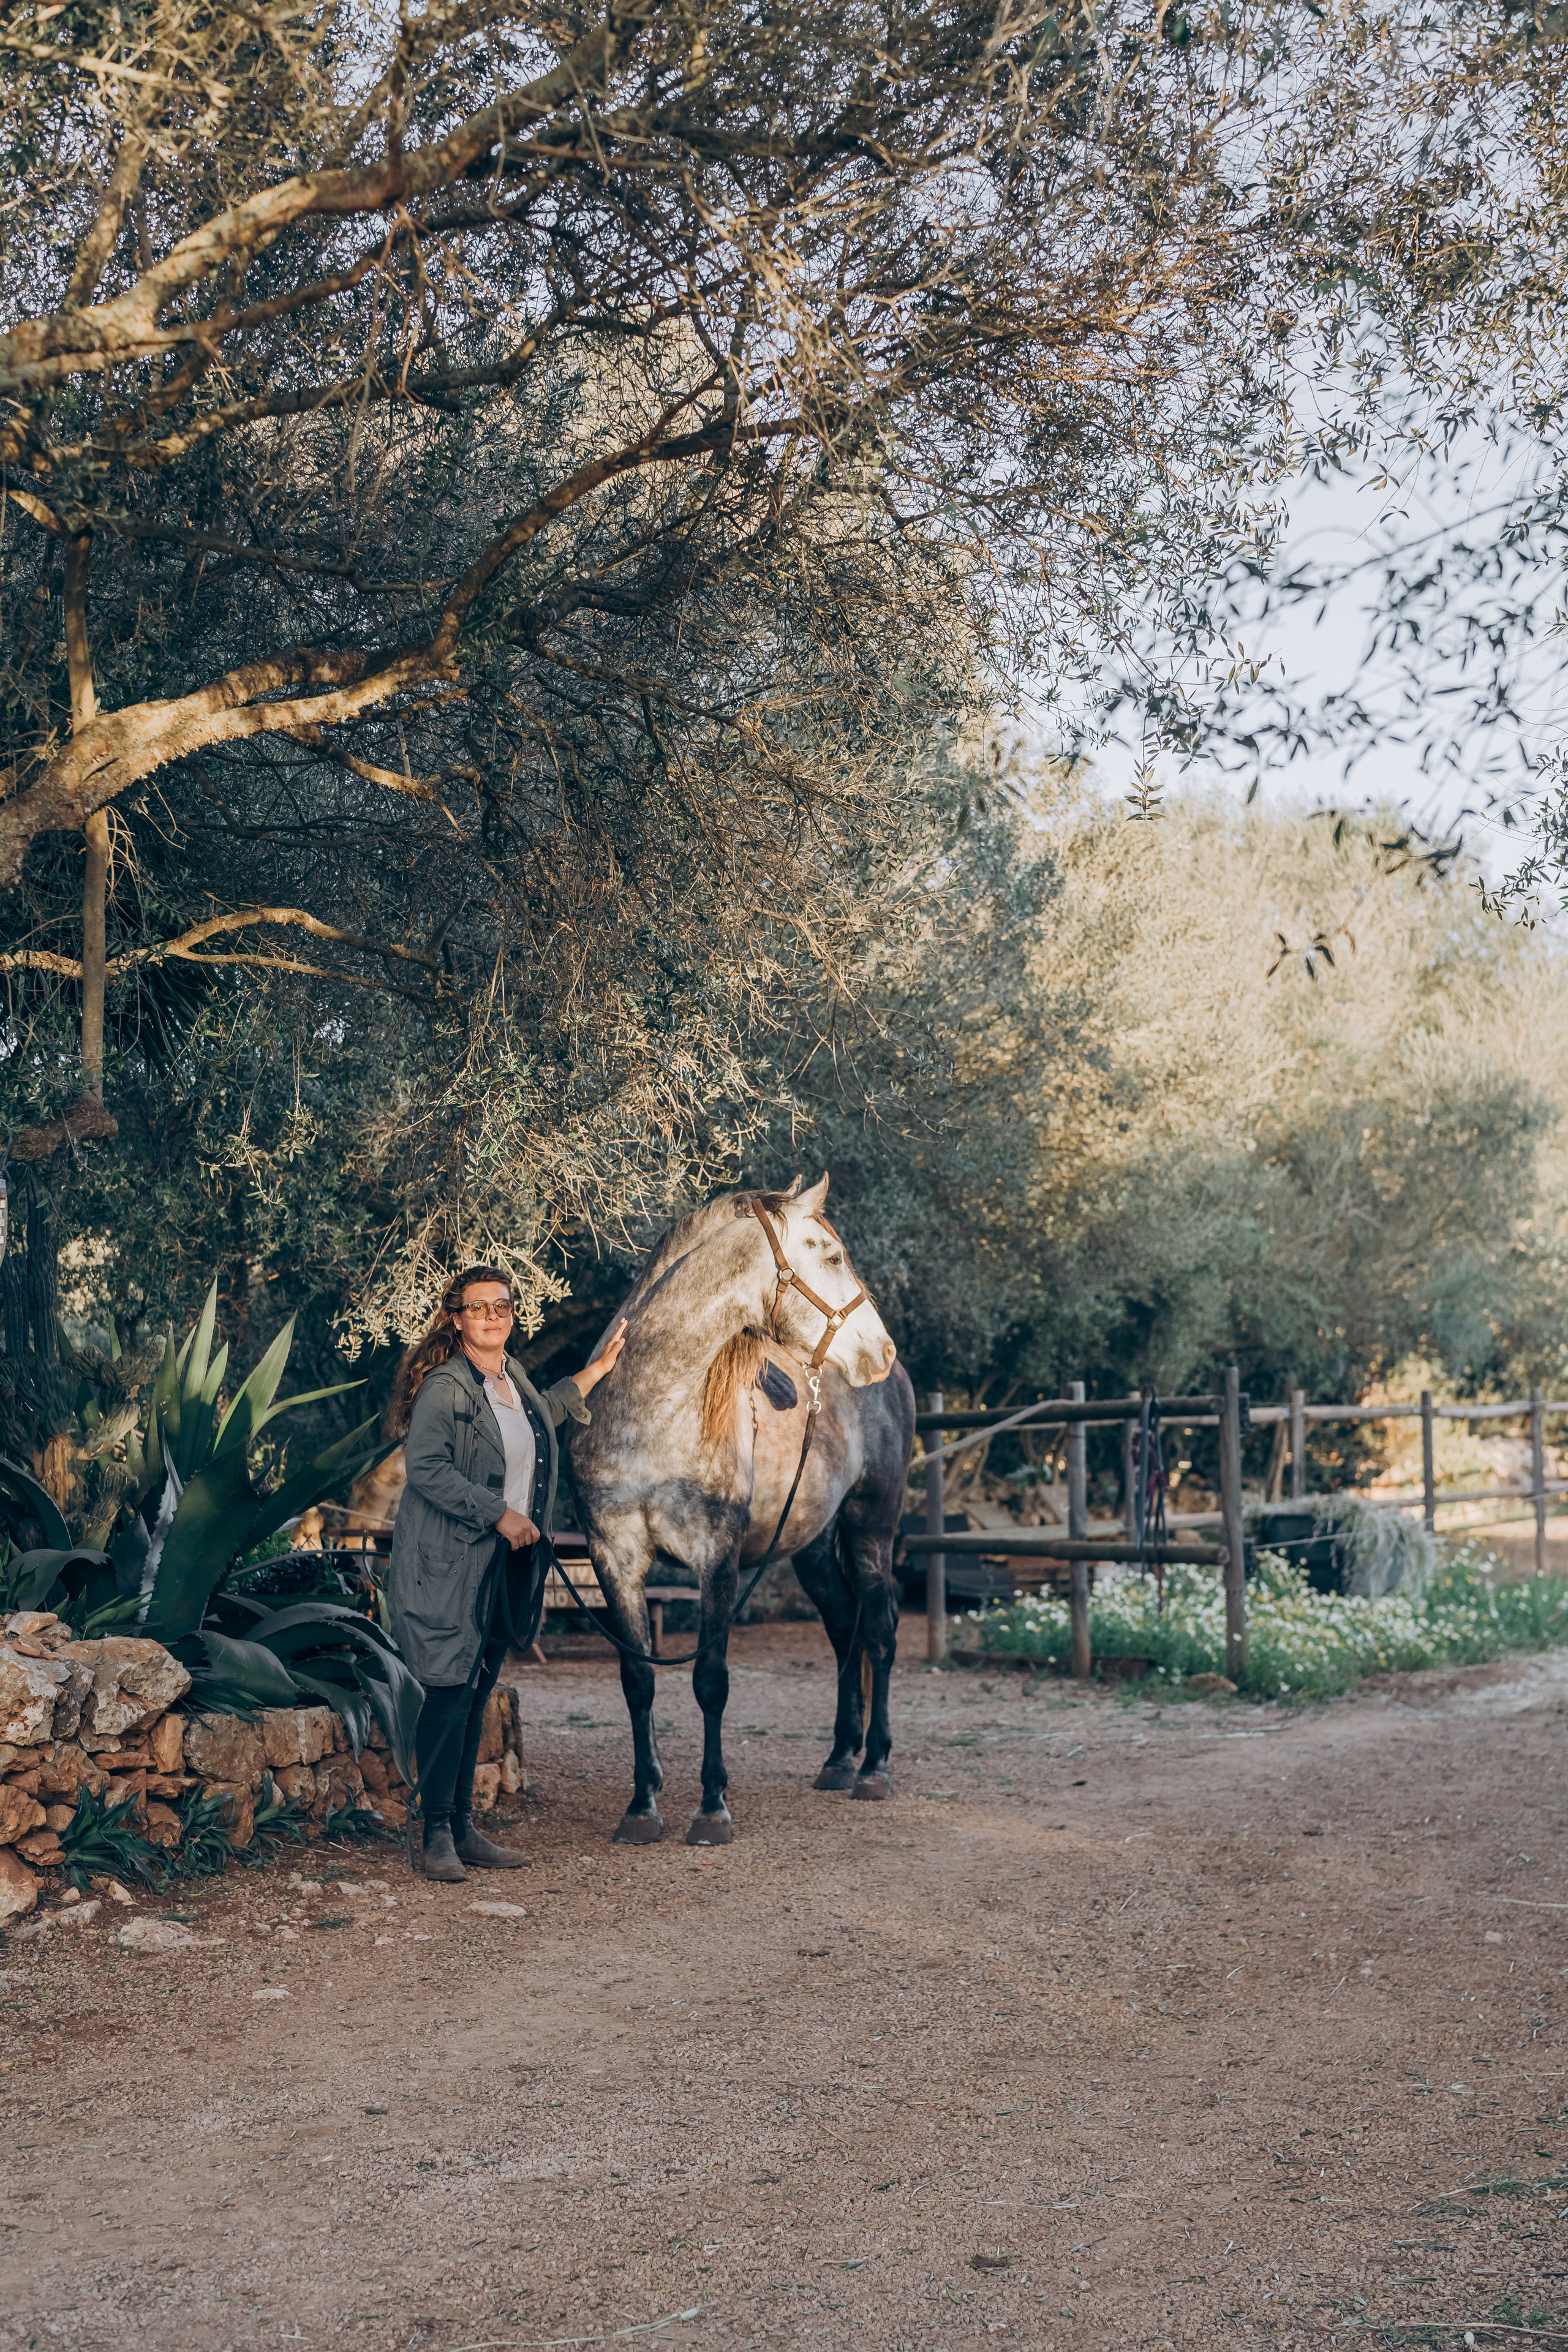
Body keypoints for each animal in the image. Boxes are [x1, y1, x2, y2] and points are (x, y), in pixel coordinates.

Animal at [564, 1174, 914, 1846]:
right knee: (844, 1629)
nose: (881, 1349)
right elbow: (637, 1680)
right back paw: (839, 1760)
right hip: (811, 1547)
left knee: (881, 1633)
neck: (654, 1413)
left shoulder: (716, 1560)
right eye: (833, 1257)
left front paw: (711, 1807)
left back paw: (875, 1769)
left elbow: (710, 1681)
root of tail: (897, 1383)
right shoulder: (612, 1556)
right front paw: (642, 1807)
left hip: (871, 1529)